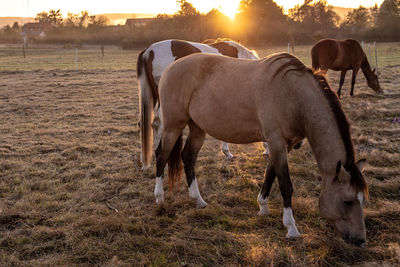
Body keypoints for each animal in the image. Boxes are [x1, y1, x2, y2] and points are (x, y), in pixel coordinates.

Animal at [144, 52, 368, 247]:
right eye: (348, 201)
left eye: (363, 200)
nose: (360, 240)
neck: (294, 94)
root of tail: (170, 68)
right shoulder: (276, 142)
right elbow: (285, 185)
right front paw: (291, 228)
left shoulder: (283, 145)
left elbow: (270, 174)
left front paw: (263, 207)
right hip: (173, 125)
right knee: (162, 155)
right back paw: (159, 198)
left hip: (197, 127)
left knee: (188, 157)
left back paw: (198, 200)